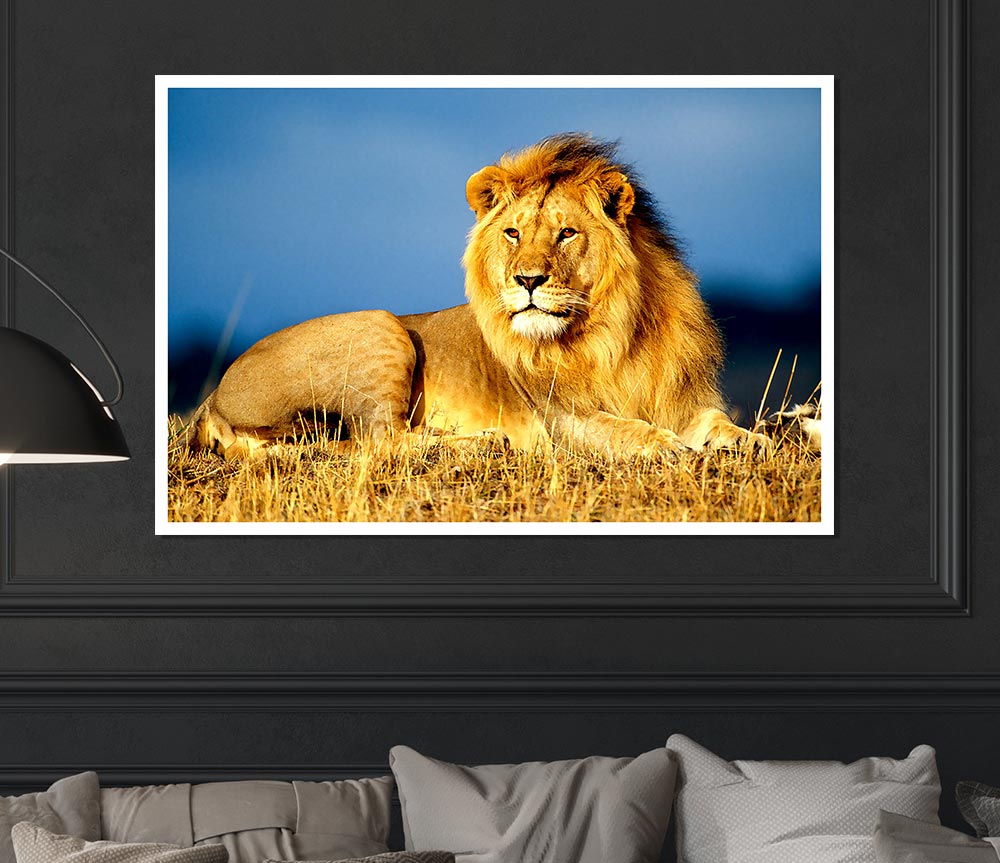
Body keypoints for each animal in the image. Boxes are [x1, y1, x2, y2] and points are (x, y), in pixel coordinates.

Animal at [186, 133, 767, 460]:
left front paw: (752, 440)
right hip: (381, 326)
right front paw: (668, 446)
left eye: (566, 234)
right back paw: (484, 443)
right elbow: (626, 430)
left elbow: (716, 422)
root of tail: (212, 398)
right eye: (512, 233)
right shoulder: (564, 421)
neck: (615, 333)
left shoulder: (682, 397)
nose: (527, 280)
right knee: (379, 441)